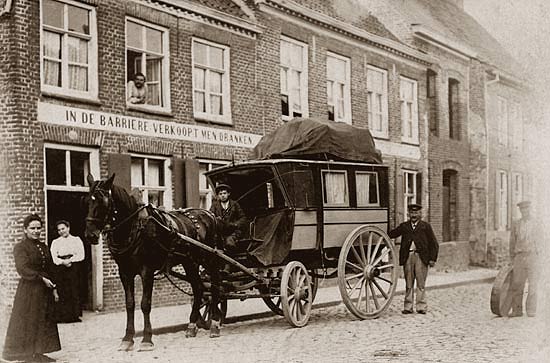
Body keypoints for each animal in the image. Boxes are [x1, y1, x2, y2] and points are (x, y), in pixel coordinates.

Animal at [83, 175, 224, 352]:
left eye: (103, 201)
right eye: (88, 200)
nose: (90, 235)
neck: (134, 227)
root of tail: (209, 214)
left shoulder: (147, 270)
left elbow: (145, 304)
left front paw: (146, 339)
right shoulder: (125, 272)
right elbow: (130, 304)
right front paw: (128, 338)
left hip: (209, 260)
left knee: (215, 287)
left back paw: (215, 323)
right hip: (190, 262)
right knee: (198, 289)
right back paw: (192, 325)